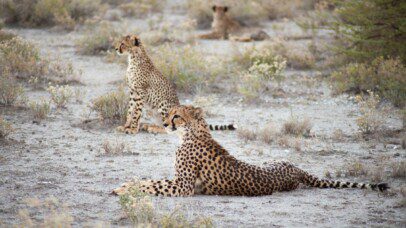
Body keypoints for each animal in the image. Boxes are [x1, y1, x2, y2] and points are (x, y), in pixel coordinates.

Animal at [112, 105, 390, 196]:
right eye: (169, 113)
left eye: (176, 116)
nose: (164, 124)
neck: (191, 133)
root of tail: (297, 168)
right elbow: (150, 180)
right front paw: (125, 185)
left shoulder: (184, 186)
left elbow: (151, 184)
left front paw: (124, 188)